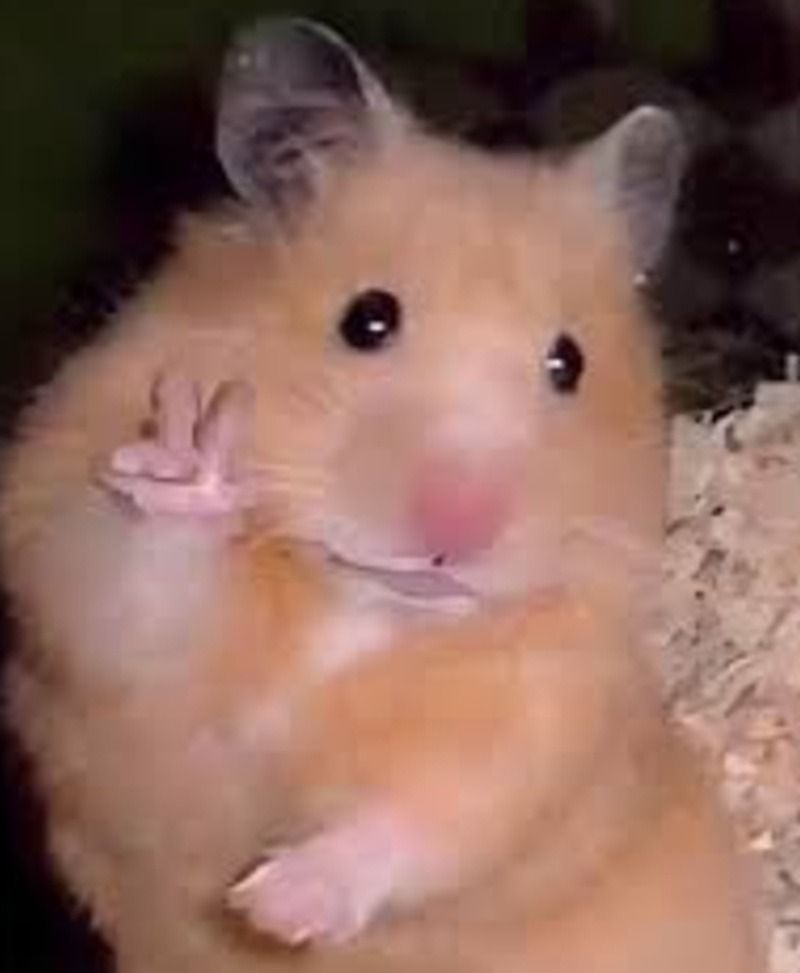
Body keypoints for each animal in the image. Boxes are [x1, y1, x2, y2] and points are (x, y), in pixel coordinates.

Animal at [0, 17, 764, 973]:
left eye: (569, 363)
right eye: (367, 318)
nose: (459, 527)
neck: (361, 608)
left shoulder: (547, 712)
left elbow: (438, 814)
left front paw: (272, 905)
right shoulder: (72, 572)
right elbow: (137, 586)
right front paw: (194, 452)